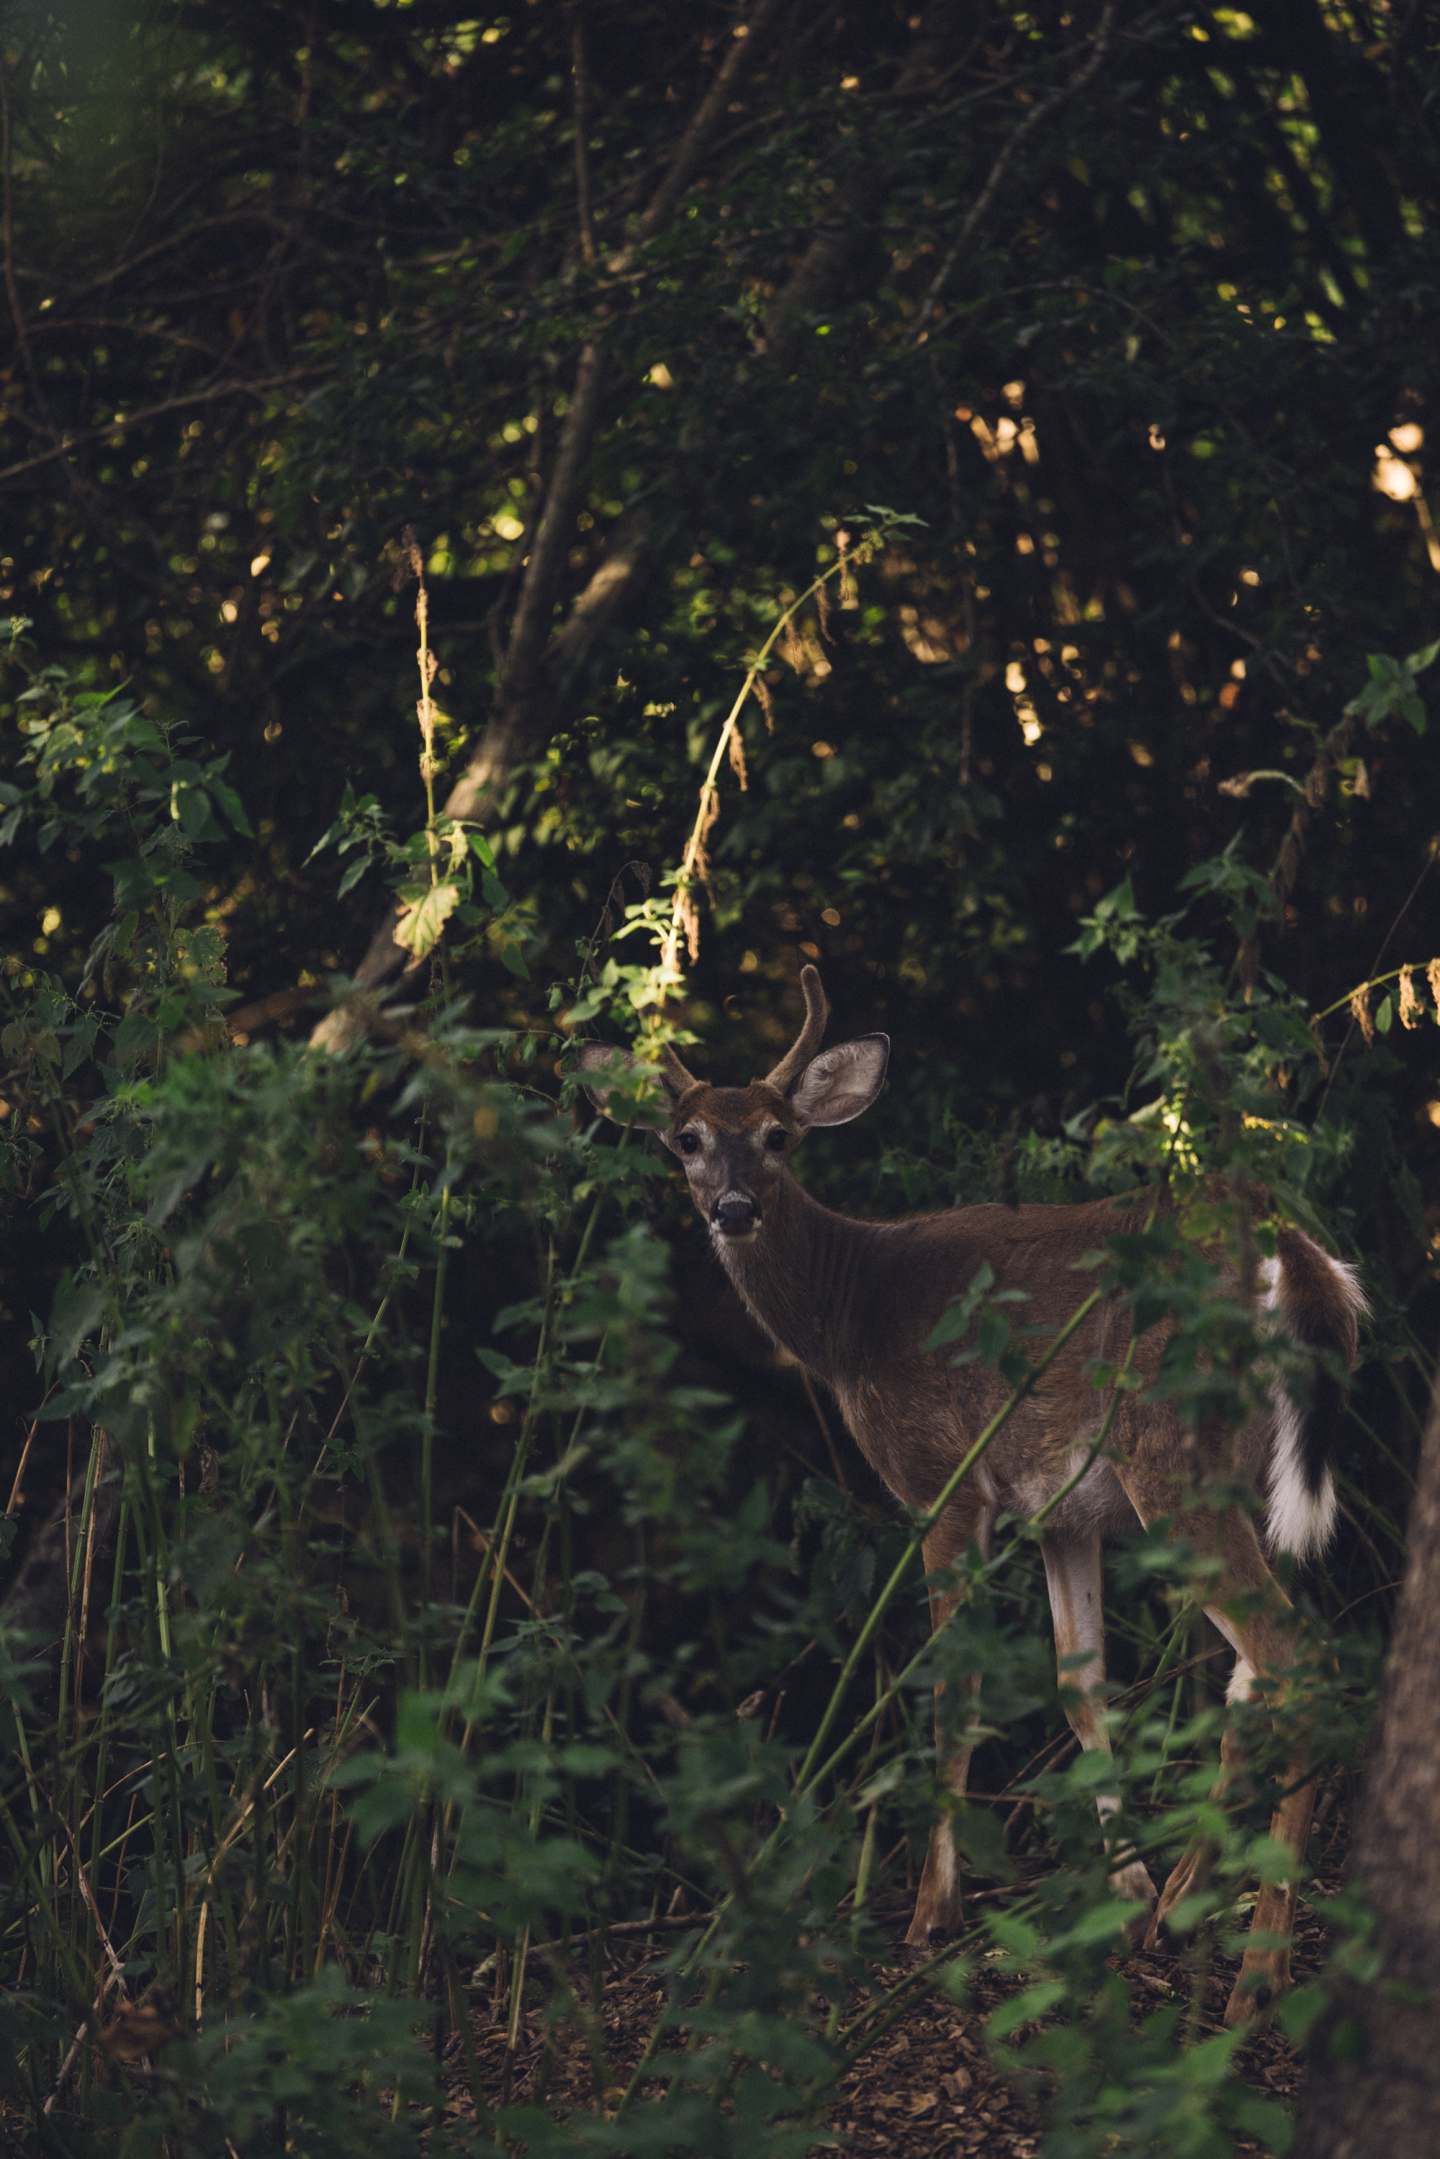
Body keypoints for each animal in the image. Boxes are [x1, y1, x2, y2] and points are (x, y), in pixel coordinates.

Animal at [578, 965, 1366, 2028]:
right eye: (687, 1138)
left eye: (779, 1134)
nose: (734, 1208)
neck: (849, 1317)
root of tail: (1291, 1255)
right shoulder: (1061, 1512)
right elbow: (1079, 1684)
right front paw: (1122, 1885)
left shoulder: (941, 1480)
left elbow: (955, 1687)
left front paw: (929, 1912)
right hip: (1248, 1473)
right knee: (1255, 1668)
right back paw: (1181, 1899)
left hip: (1172, 1453)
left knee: (1294, 1653)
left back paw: (1257, 1973)